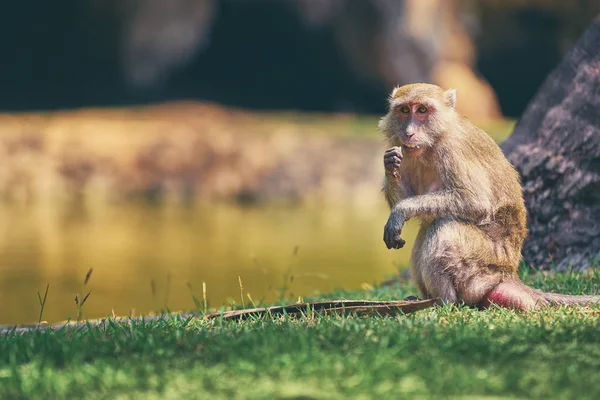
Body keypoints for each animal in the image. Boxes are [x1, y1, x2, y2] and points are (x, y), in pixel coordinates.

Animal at [380, 83, 600, 310]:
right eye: (405, 110)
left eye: (422, 110)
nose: (409, 133)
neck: (436, 140)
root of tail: (509, 273)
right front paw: (390, 165)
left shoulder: (454, 151)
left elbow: (475, 203)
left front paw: (400, 211)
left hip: (483, 265)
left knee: (444, 227)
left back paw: (444, 301)